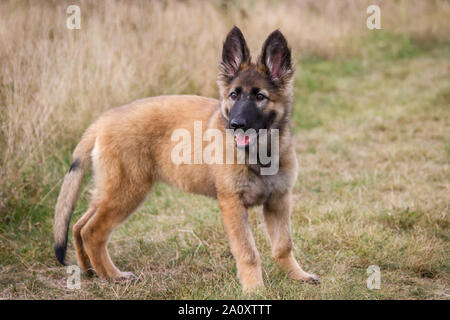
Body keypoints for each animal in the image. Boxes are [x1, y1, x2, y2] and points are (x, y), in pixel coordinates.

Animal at [52, 26, 318, 292]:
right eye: (234, 95)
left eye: (260, 97)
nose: (236, 125)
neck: (260, 153)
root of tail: (102, 120)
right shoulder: (233, 204)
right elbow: (248, 252)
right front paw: (255, 289)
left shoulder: (278, 200)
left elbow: (283, 245)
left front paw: (297, 275)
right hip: (127, 191)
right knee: (92, 231)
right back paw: (113, 276)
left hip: (109, 190)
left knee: (78, 225)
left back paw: (88, 271)